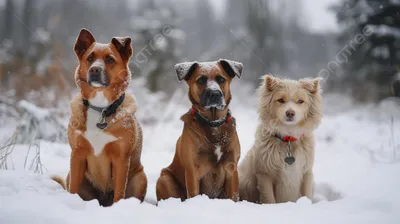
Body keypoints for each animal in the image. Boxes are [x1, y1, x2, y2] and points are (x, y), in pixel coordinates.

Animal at [52, 28, 147, 206]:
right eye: (90, 58)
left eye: (110, 59)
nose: (94, 70)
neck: (101, 109)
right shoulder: (77, 154)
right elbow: (73, 189)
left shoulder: (121, 159)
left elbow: (119, 192)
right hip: (72, 175)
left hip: (140, 178)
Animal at [155, 59, 244, 201]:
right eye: (201, 80)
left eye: (221, 79)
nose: (215, 93)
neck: (212, 123)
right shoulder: (193, 170)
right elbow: (193, 193)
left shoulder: (231, 168)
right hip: (164, 179)